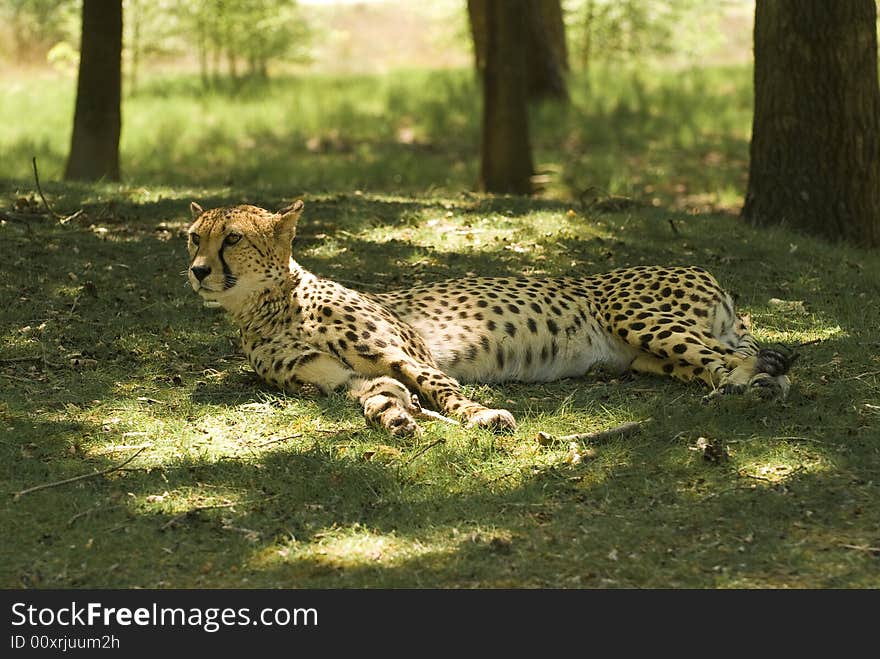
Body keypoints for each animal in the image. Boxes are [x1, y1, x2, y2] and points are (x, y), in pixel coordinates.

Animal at [187, 202, 796, 438]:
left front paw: (482, 416)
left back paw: (752, 385)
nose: (196, 271)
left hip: (640, 317)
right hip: (652, 359)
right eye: (194, 237)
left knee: (738, 358)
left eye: (232, 239)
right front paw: (396, 420)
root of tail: (702, 270)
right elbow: (379, 398)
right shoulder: (347, 379)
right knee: (730, 362)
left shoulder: (408, 353)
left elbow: (442, 388)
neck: (266, 308)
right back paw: (752, 385)